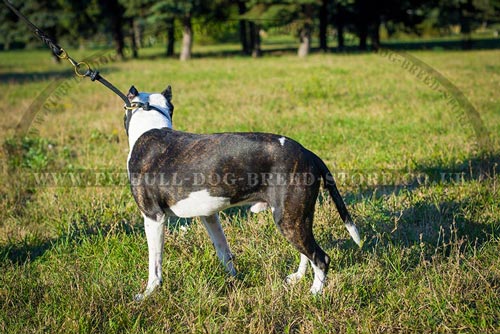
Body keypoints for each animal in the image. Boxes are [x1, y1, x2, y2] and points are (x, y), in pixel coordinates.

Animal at [124, 86, 360, 300]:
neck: (150, 121)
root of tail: (308, 153)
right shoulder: (209, 216)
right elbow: (224, 251)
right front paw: (234, 279)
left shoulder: (153, 217)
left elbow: (155, 264)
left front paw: (148, 293)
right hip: (299, 217)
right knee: (307, 253)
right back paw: (298, 278)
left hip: (287, 220)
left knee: (321, 258)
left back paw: (314, 294)